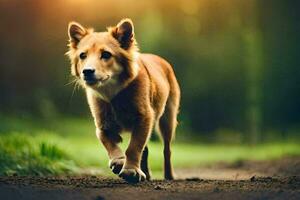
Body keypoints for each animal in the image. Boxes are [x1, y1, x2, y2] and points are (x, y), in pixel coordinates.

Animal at [67, 18, 180, 183]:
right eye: (82, 55)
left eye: (106, 54)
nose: (87, 71)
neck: (113, 93)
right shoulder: (101, 125)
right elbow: (109, 141)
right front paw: (119, 161)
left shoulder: (144, 118)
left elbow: (134, 147)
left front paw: (130, 170)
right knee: (146, 149)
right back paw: (145, 174)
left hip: (167, 120)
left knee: (167, 150)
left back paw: (168, 175)